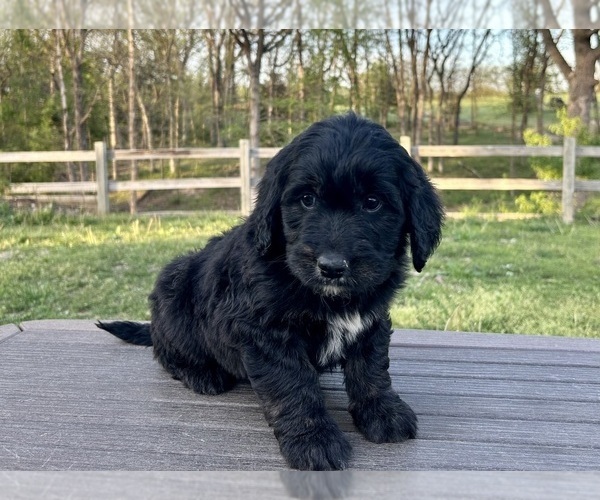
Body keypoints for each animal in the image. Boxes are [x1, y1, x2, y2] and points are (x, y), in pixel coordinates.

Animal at [98, 113, 442, 468]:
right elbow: (293, 387)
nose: (332, 266)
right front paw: (313, 440)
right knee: (165, 351)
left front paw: (382, 413)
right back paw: (202, 373)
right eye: (307, 200)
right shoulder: (267, 333)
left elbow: (371, 368)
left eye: (373, 203)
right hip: (172, 289)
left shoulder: (372, 320)